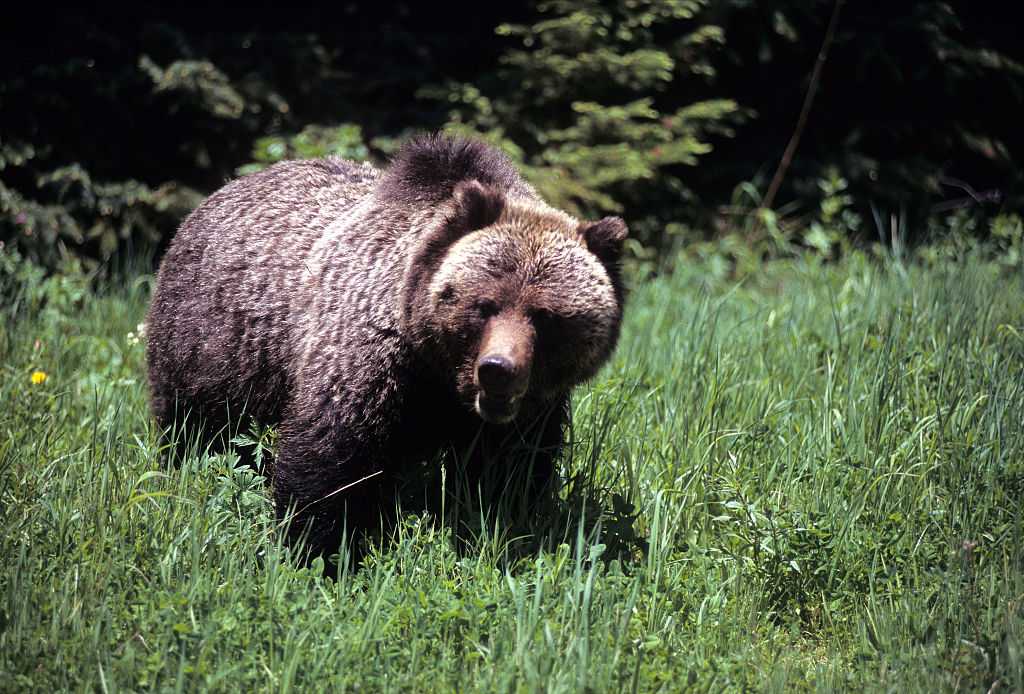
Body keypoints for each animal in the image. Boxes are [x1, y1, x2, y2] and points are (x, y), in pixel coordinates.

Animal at [147, 133, 626, 560]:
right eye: (484, 304)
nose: (498, 369)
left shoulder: (529, 412)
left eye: (545, 315)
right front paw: (317, 549)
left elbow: (513, 472)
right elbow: (331, 457)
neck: (440, 372)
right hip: (210, 348)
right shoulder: (370, 359)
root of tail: (219, 192)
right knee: (195, 427)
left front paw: (509, 520)